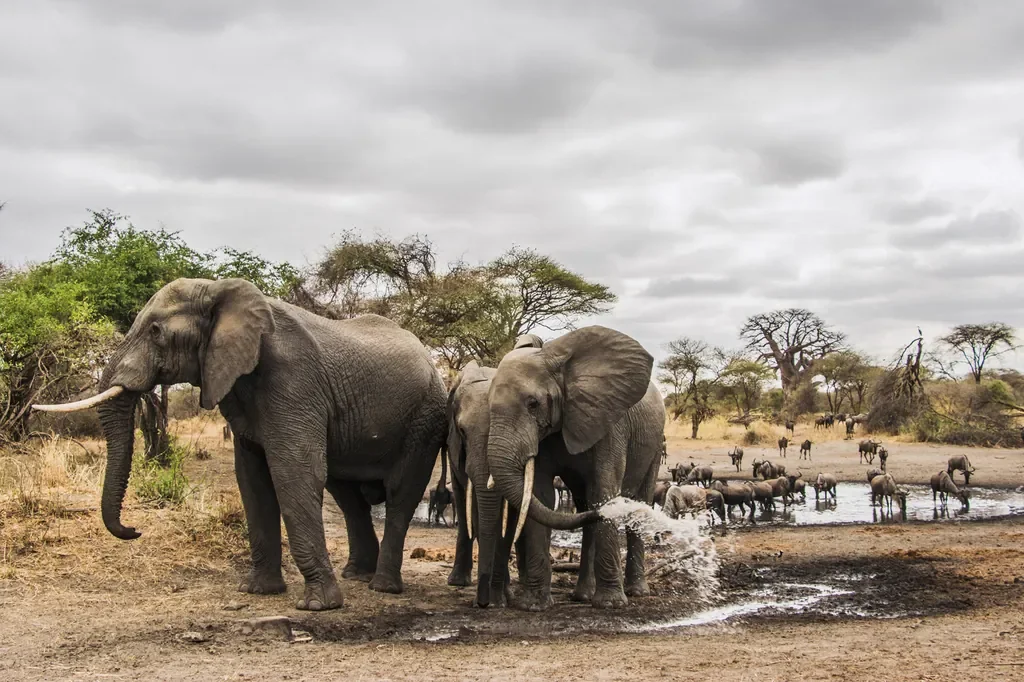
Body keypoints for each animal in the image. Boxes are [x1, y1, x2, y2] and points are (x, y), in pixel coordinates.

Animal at [33, 278, 449, 610]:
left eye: (154, 331)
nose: (134, 530)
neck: (219, 291)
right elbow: (252, 480)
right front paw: (258, 592)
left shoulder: (294, 382)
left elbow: (294, 472)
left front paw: (318, 606)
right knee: (346, 495)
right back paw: (357, 577)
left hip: (425, 417)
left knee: (400, 493)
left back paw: (382, 587)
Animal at [483, 325, 665, 609]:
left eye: (533, 404)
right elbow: (541, 495)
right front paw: (534, 605)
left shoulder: (611, 423)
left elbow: (604, 490)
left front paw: (610, 604)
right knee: (585, 506)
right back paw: (583, 595)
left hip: (656, 443)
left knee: (638, 501)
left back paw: (635, 592)